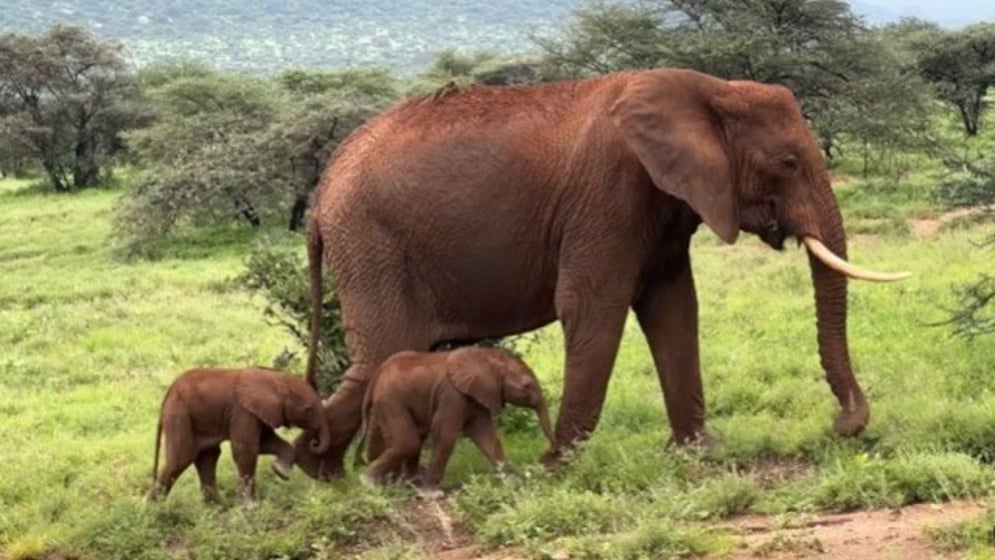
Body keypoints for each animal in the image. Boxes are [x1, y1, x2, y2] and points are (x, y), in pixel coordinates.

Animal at [149, 368, 330, 504]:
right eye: (308, 409)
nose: (315, 443)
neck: (274, 378)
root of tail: (167, 395)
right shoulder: (242, 412)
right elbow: (246, 450)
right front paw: (250, 506)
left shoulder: (257, 412)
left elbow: (265, 443)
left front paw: (281, 472)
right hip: (179, 414)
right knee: (181, 458)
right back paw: (153, 510)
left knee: (207, 457)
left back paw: (218, 508)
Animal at [296, 65, 912, 476]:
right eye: (787, 163)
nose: (842, 427)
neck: (708, 87)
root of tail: (322, 196)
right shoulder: (609, 195)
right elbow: (593, 305)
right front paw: (558, 466)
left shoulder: (664, 203)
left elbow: (674, 307)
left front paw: (699, 453)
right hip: (372, 242)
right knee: (383, 351)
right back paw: (336, 473)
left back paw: (339, 474)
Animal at [354, 346, 556, 498]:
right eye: (527, 386)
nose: (552, 449)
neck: (487, 357)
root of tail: (377, 375)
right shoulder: (453, 395)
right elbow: (446, 433)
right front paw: (431, 494)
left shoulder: (476, 395)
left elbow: (486, 436)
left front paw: (514, 484)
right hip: (390, 399)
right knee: (408, 442)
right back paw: (368, 482)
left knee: (416, 437)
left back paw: (411, 484)